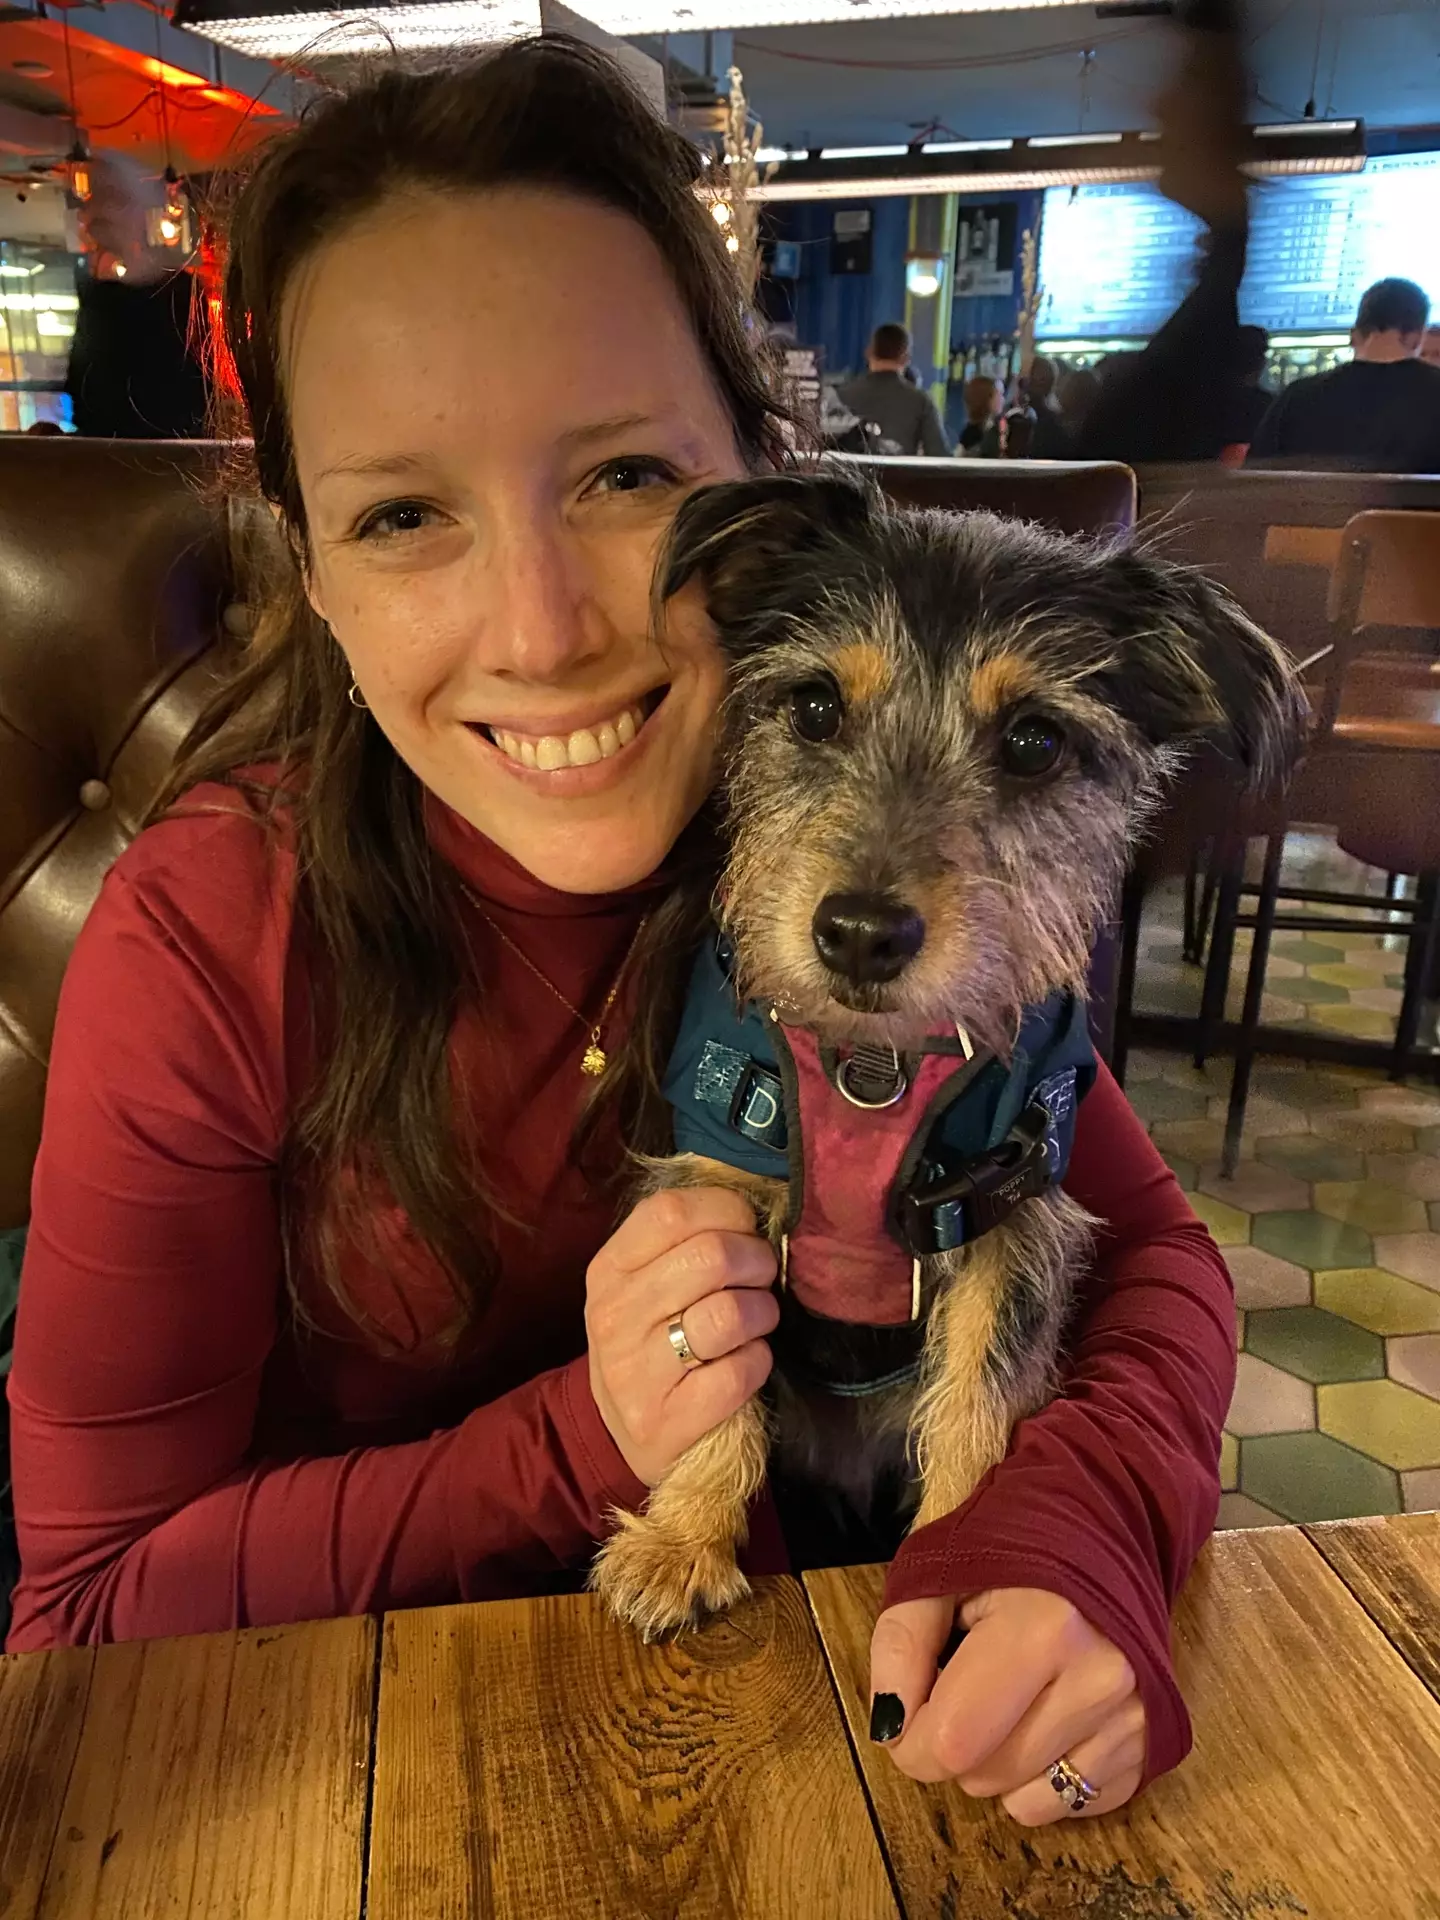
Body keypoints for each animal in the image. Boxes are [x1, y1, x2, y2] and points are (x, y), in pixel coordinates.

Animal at [587, 476, 1305, 1635]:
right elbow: (716, 1368)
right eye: (816, 708)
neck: (871, 1070)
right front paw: (684, 1536)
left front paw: (960, 1563)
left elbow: (977, 1401)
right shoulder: (716, 1187)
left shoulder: (1010, 1217)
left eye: (1034, 742)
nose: (860, 934)